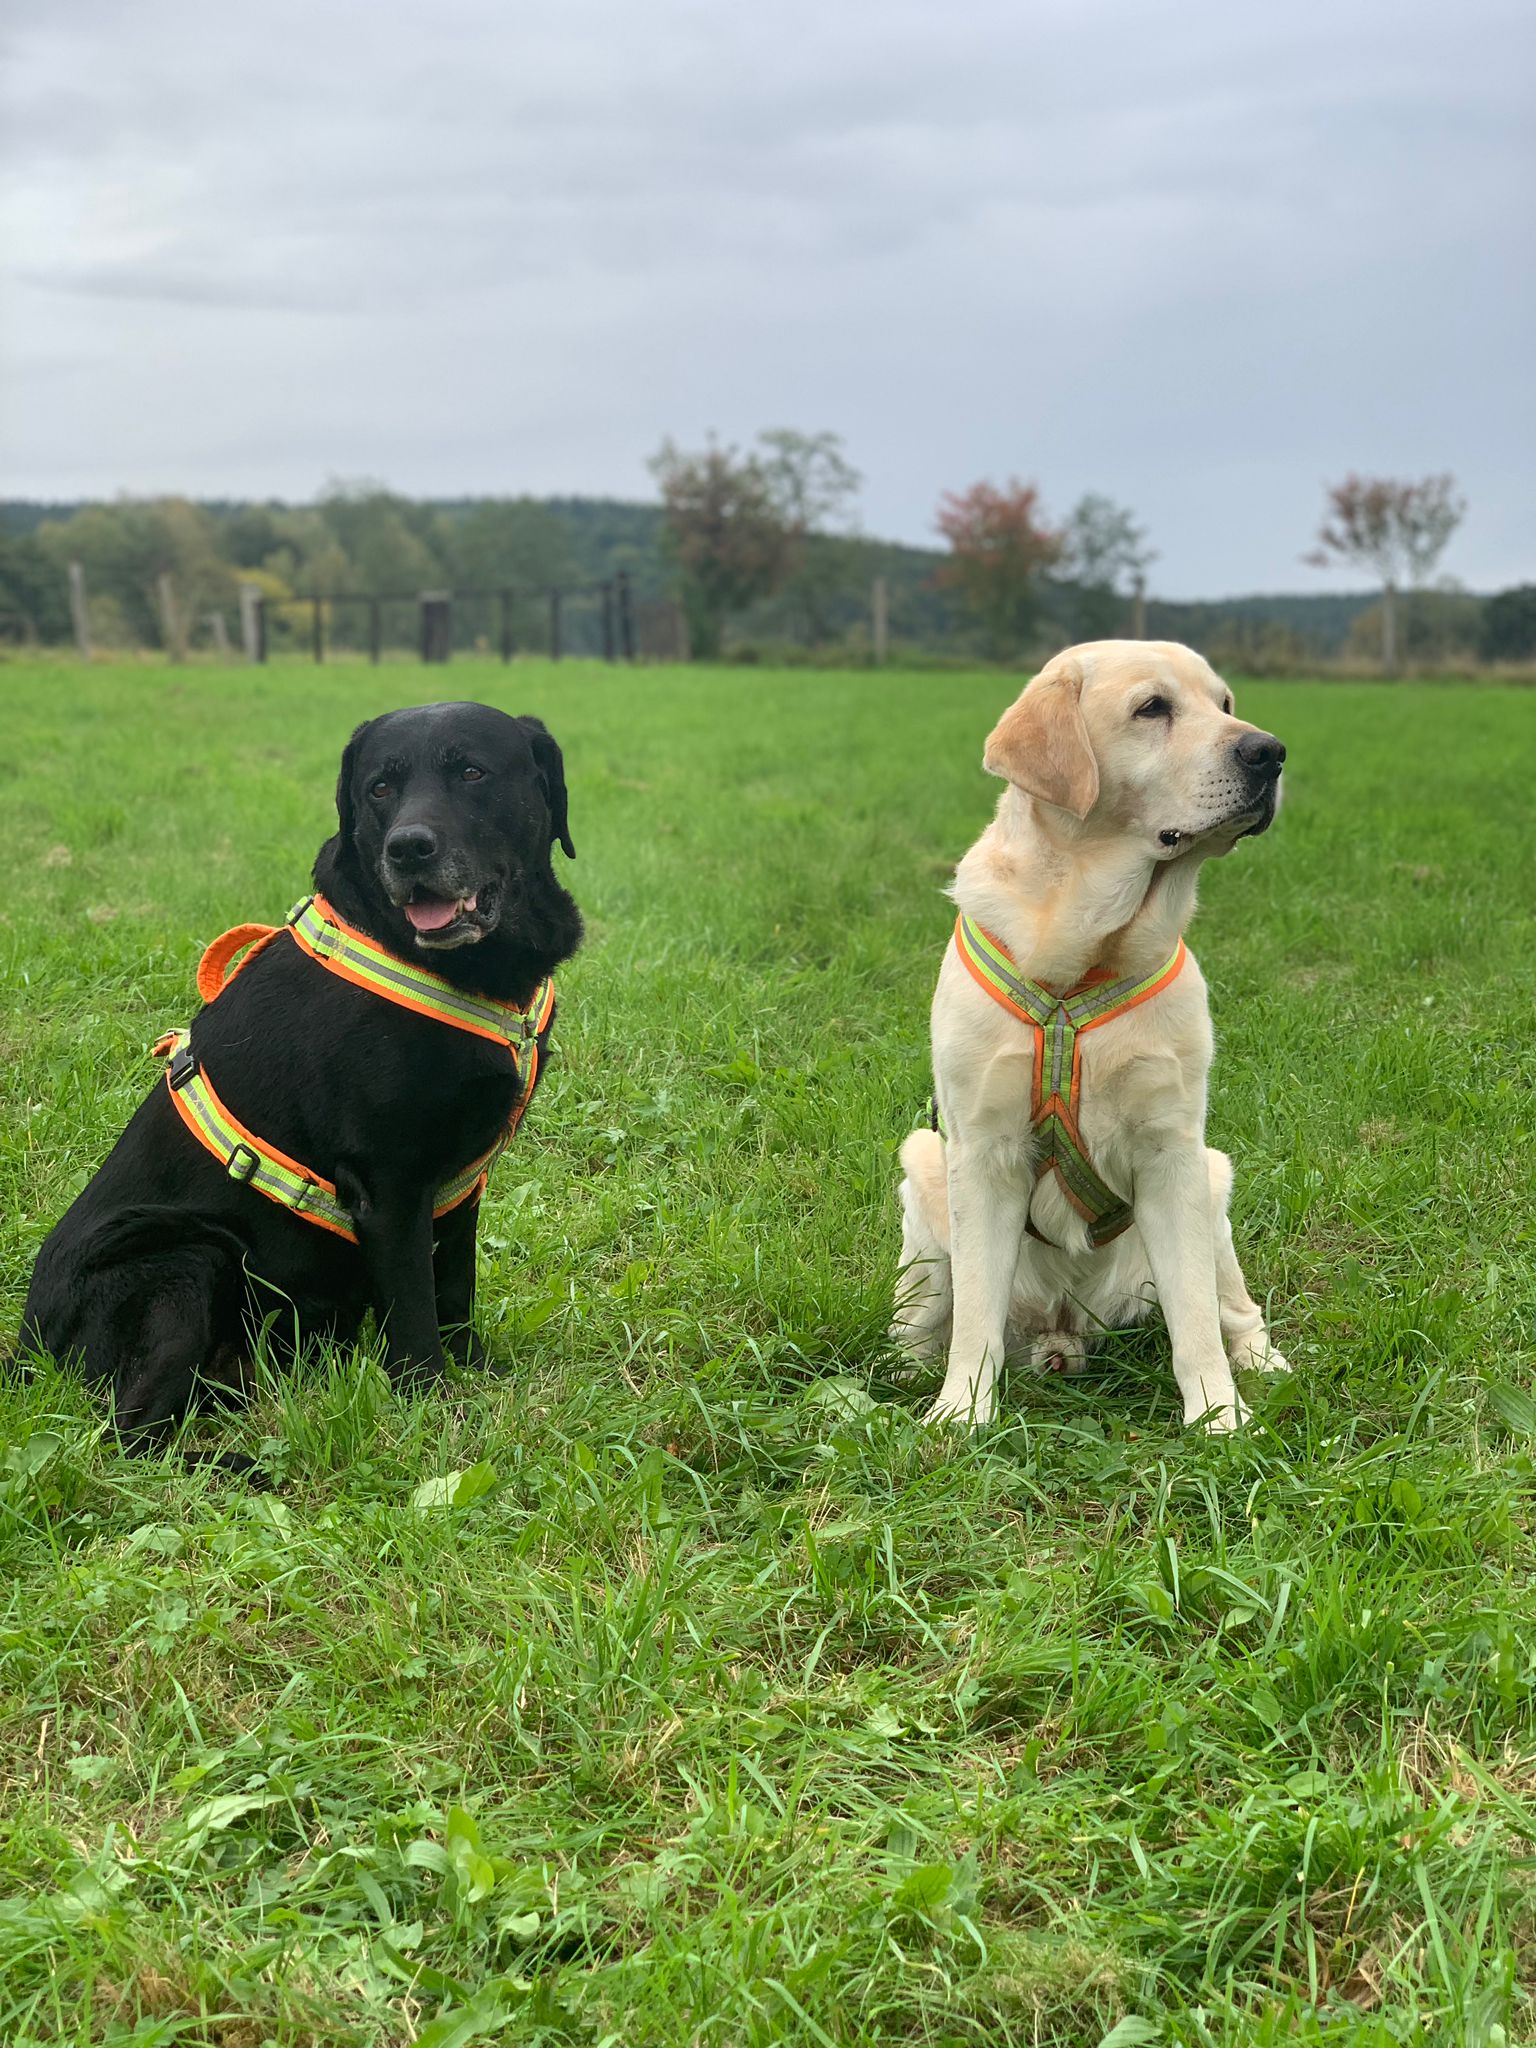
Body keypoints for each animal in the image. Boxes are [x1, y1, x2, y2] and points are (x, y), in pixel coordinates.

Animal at [20, 712, 585, 1449]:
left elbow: (455, 1287)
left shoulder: (462, 1182)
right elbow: (415, 1314)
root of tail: (25, 1354)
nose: (409, 849)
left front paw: (477, 1371)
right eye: (380, 788)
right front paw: (434, 1409)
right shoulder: (390, 1185)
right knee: (133, 1433)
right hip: (187, 1259)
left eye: (471, 772)